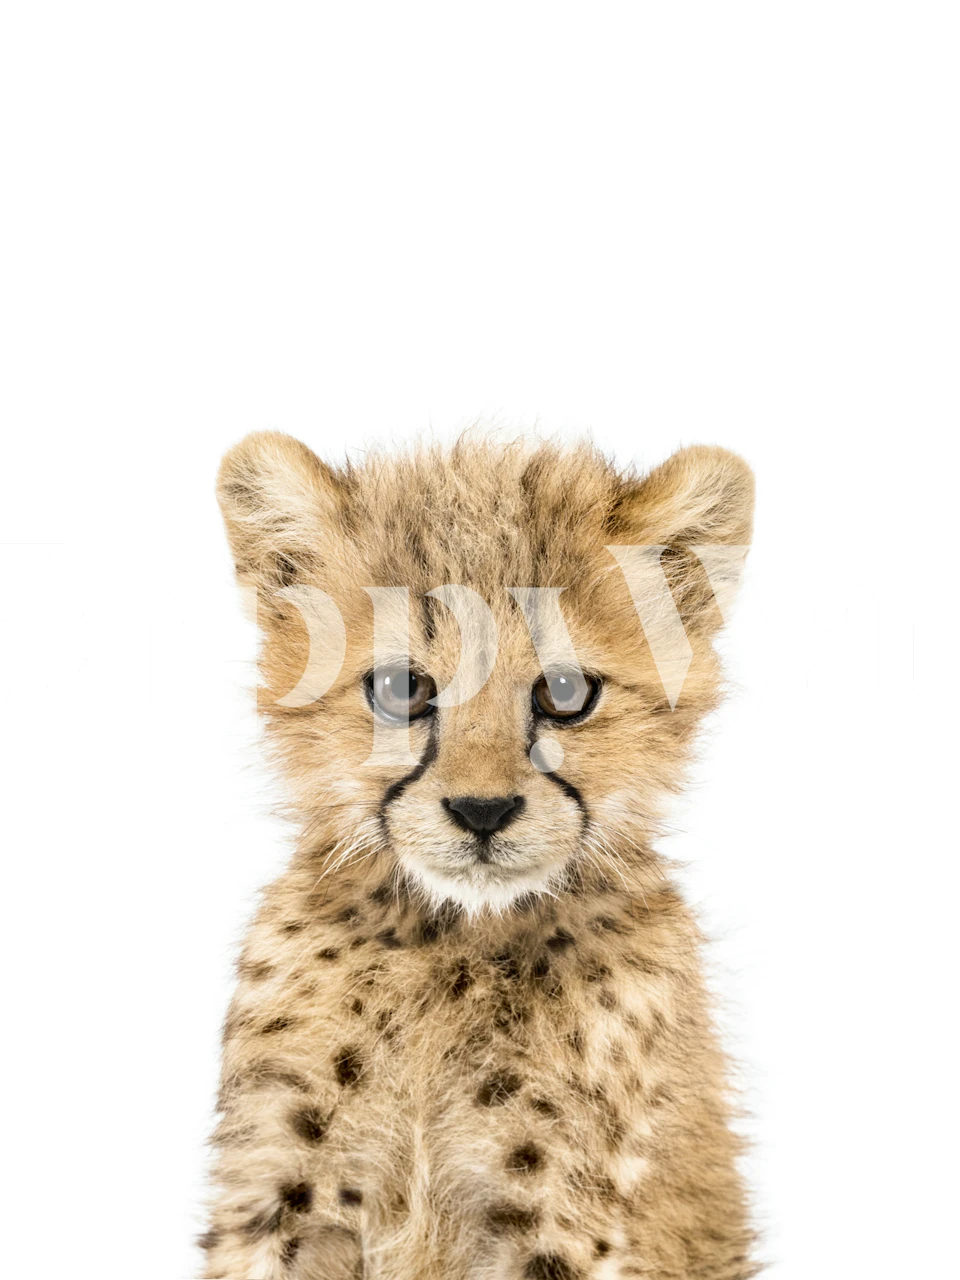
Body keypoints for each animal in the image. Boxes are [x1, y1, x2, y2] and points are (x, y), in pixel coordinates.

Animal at [201, 430, 758, 1280]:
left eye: (565, 691)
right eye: (402, 687)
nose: (482, 812)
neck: (450, 943)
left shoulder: (558, 1217)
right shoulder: (282, 1197)